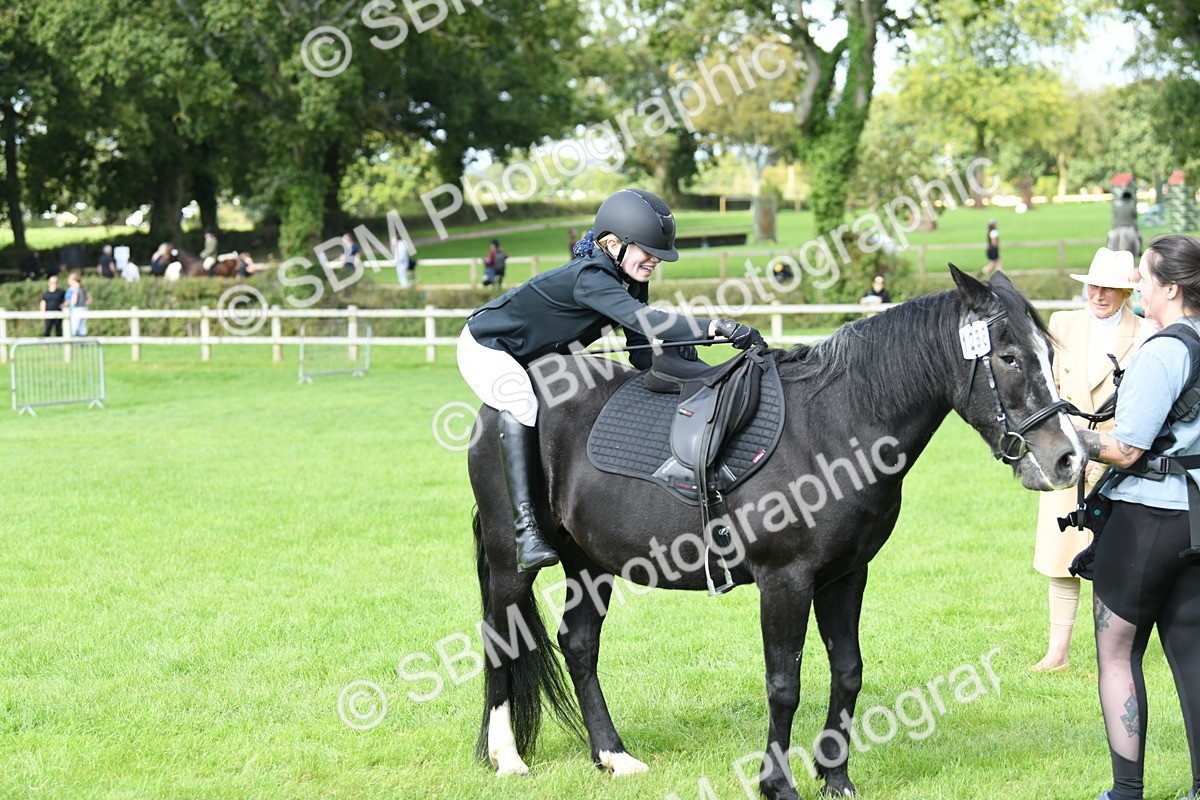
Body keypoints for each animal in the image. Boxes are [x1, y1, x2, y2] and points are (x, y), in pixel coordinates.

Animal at [467, 267, 1084, 800]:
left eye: (1052, 354)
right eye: (1008, 356)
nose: (1068, 458)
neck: (837, 426)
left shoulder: (845, 576)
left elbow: (848, 673)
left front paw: (835, 777)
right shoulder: (785, 581)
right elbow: (784, 684)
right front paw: (777, 783)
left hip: (590, 563)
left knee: (579, 644)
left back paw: (612, 756)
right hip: (512, 561)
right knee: (499, 640)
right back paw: (507, 757)